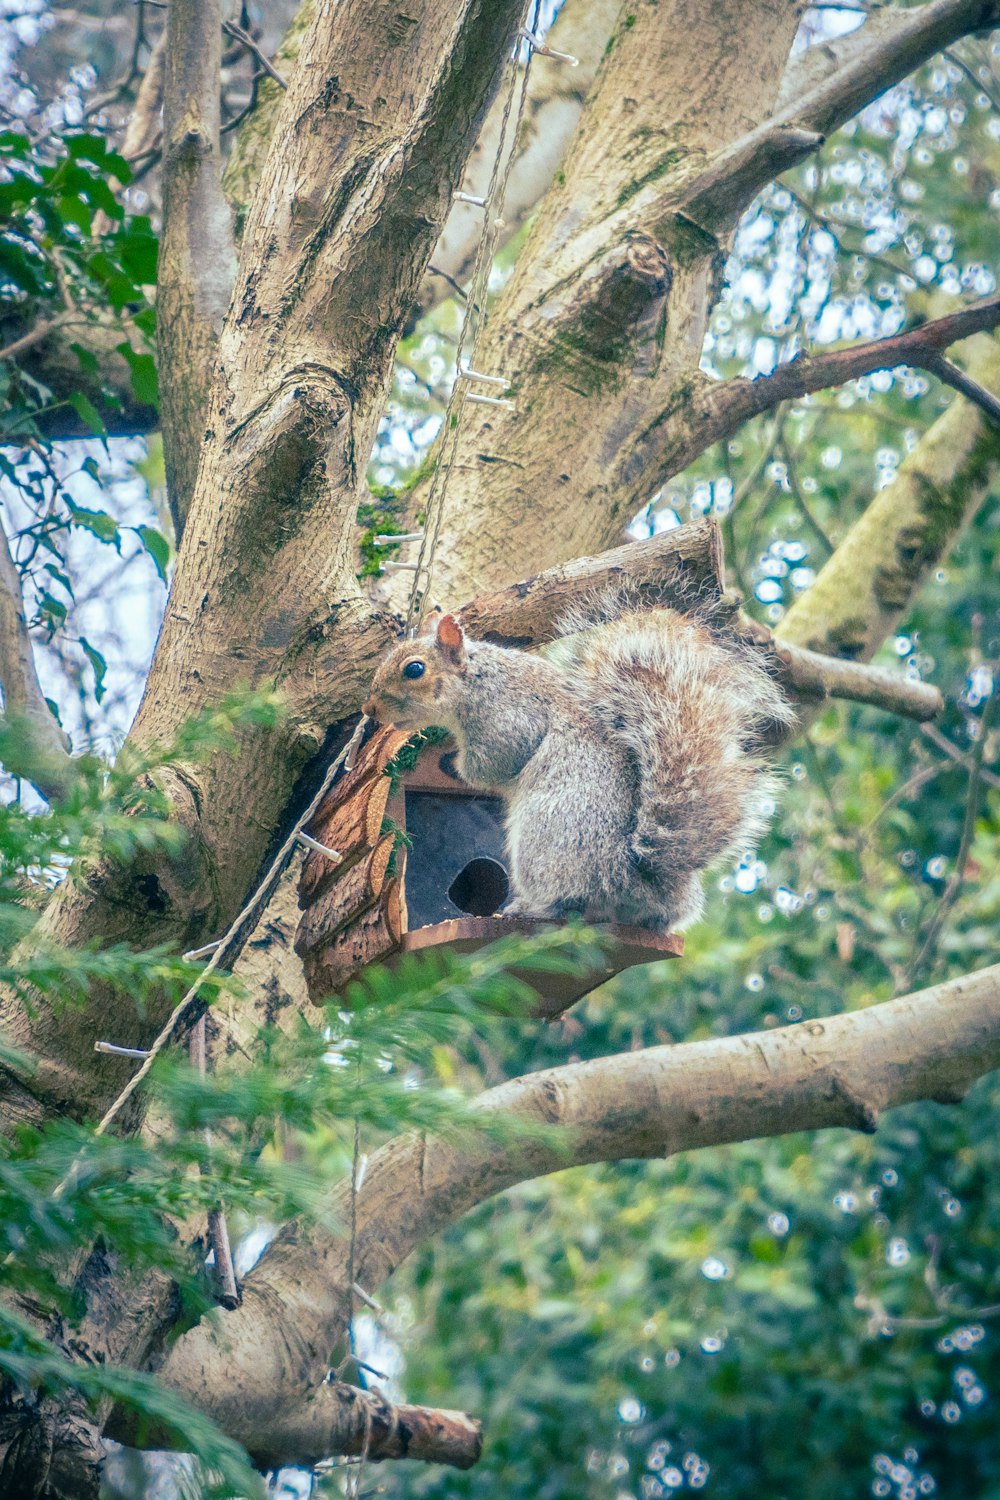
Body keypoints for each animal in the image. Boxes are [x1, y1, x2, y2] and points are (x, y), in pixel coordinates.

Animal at [364, 594, 791, 924]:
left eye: (414, 669)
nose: (370, 709)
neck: (478, 679)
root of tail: (633, 876)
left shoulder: (509, 719)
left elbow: (493, 764)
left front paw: (453, 764)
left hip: (544, 840)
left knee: (567, 902)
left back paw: (529, 908)